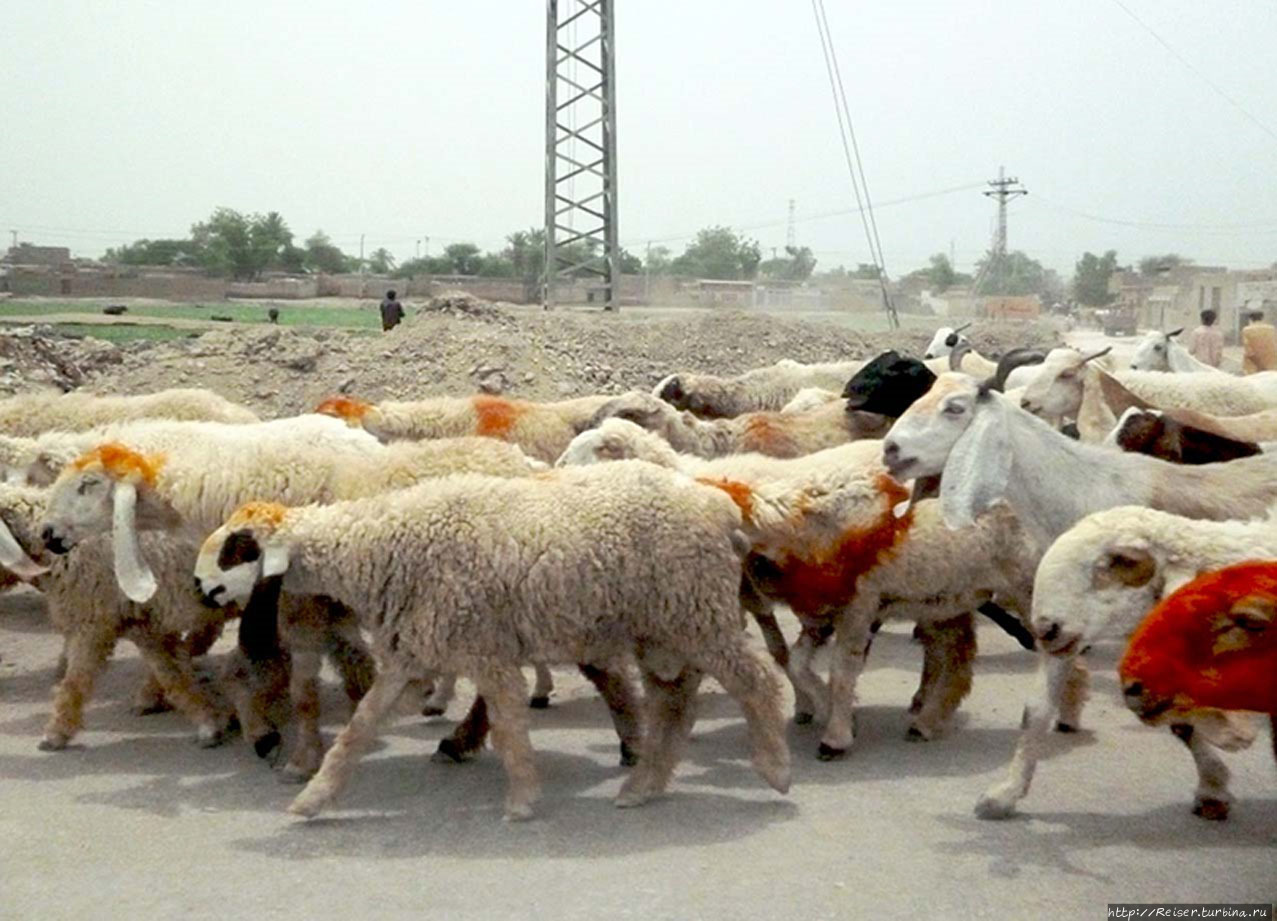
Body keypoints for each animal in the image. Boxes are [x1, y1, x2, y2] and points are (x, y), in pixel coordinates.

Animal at [190, 462, 791, 822]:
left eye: (238, 549)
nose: (198, 586)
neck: (385, 544)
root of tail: (722, 507)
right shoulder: (414, 652)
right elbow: (359, 730)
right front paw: (311, 798)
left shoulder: (486, 649)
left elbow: (507, 726)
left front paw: (521, 799)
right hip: (662, 626)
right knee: (674, 701)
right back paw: (643, 785)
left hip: (697, 612)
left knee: (757, 681)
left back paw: (774, 769)